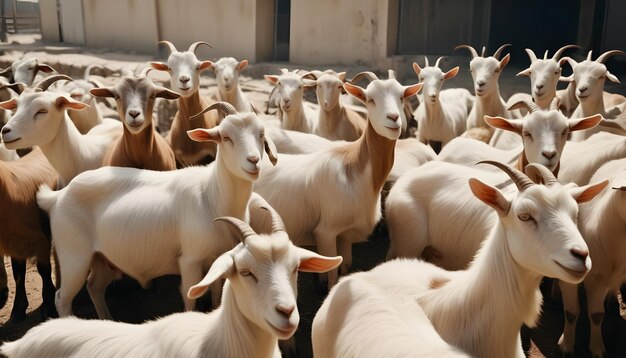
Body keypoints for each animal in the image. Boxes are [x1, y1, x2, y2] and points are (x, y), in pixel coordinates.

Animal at [36, 102, 276, 318]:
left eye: (261, 134)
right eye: (226, 137)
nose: (253, 161)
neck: (211, 195)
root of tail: (57, 197)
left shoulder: (217, 256)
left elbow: (216, 295)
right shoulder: (190, 260)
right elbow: (189, 297)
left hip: (101, 257)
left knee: (94, 286)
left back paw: (106, 319)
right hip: (74, 257)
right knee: (62, 298)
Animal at [251, 70, 422, 290]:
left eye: (401, 97)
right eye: (370, 99)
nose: (393, 119)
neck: (354, 168)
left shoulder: (345, 233)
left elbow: (345, 266)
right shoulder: (325, 232)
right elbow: (332, 271)